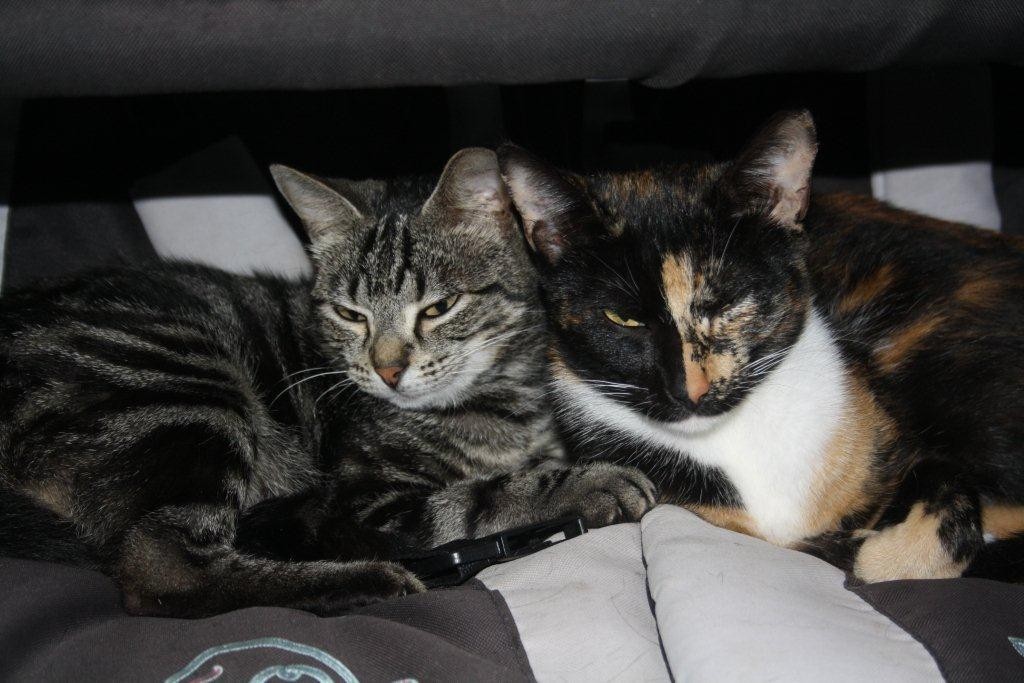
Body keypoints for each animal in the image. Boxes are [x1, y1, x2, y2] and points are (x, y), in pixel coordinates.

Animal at [0, 148, 654, 618]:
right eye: (350, 314)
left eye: (438, 308)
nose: (388, 369)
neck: (502, 402)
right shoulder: (364, 502)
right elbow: (476, 498)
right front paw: (587, 481)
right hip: (182, 385)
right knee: (159, 573)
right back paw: (366, 580)